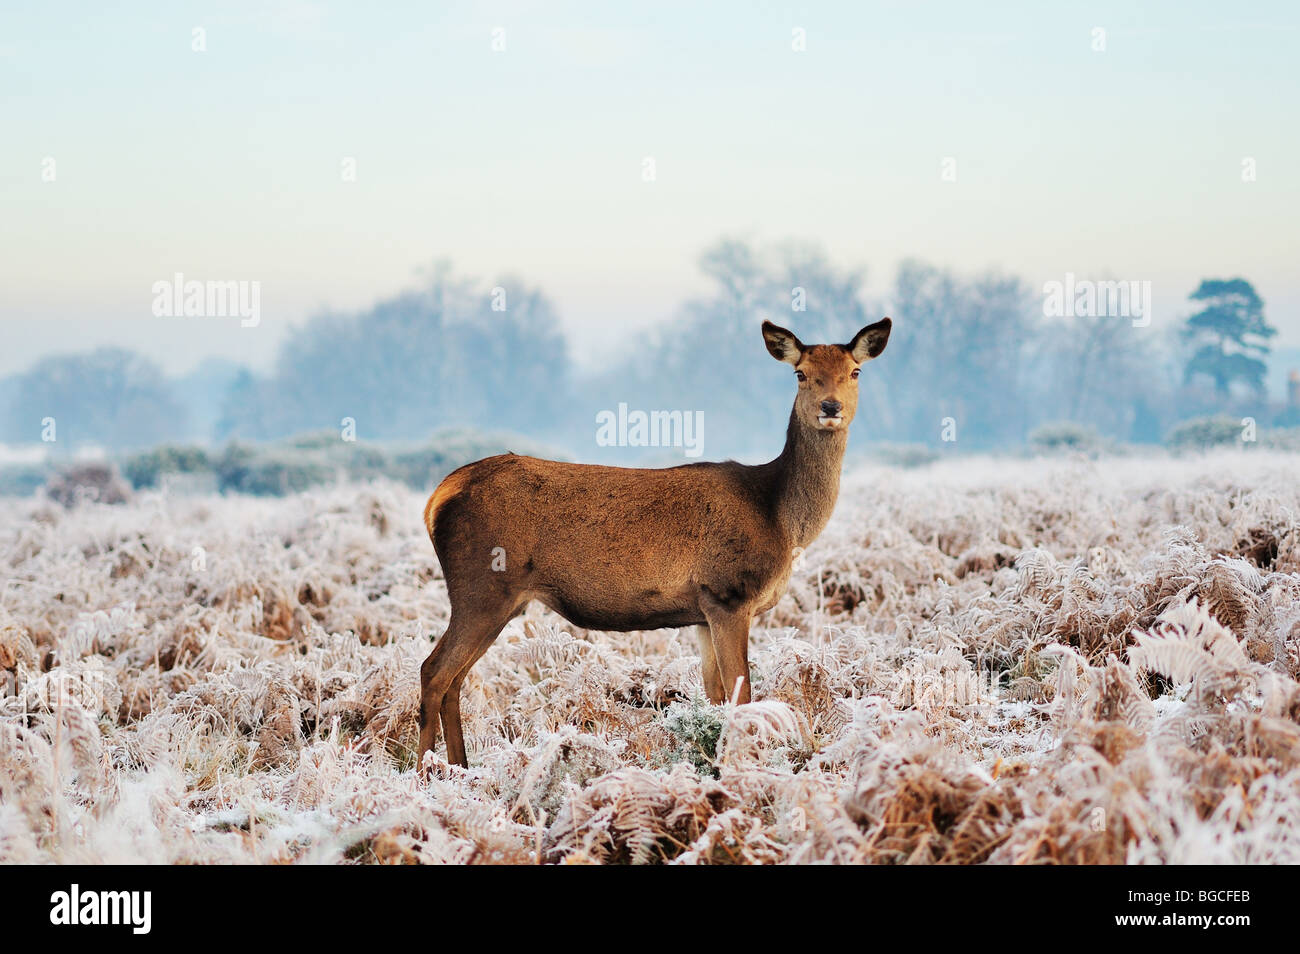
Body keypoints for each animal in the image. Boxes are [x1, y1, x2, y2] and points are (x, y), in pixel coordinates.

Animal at [421, 317, 889, 774]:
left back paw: (460, 769)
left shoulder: (703, 610)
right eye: (800, 373)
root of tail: (437, 498)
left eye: (855, 372)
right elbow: (742, 698)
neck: (779, 516)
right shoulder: (729, 593)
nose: (831, 407)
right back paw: (424, 773)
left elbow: (715, 697)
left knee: (455, 678)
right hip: (483, 586)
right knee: (434, 671)